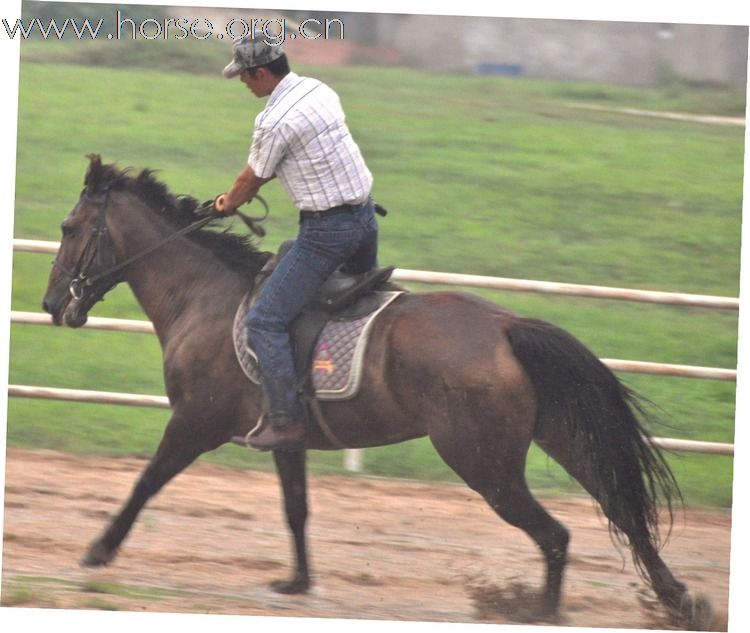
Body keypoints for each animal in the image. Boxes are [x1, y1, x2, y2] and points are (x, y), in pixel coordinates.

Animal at [42, 157, 716, 628]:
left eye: (69, 226)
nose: (51, 305)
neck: (203, 297)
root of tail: (506, 325)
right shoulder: (284, 436)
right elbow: (296, 508)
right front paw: (297, 582)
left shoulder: (195, 421)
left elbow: (147, 481)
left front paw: (98, 550)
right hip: (559, 439)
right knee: (622, 510)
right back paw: (682, 603)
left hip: (484, 463)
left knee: (556, 534)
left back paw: (539, 611)